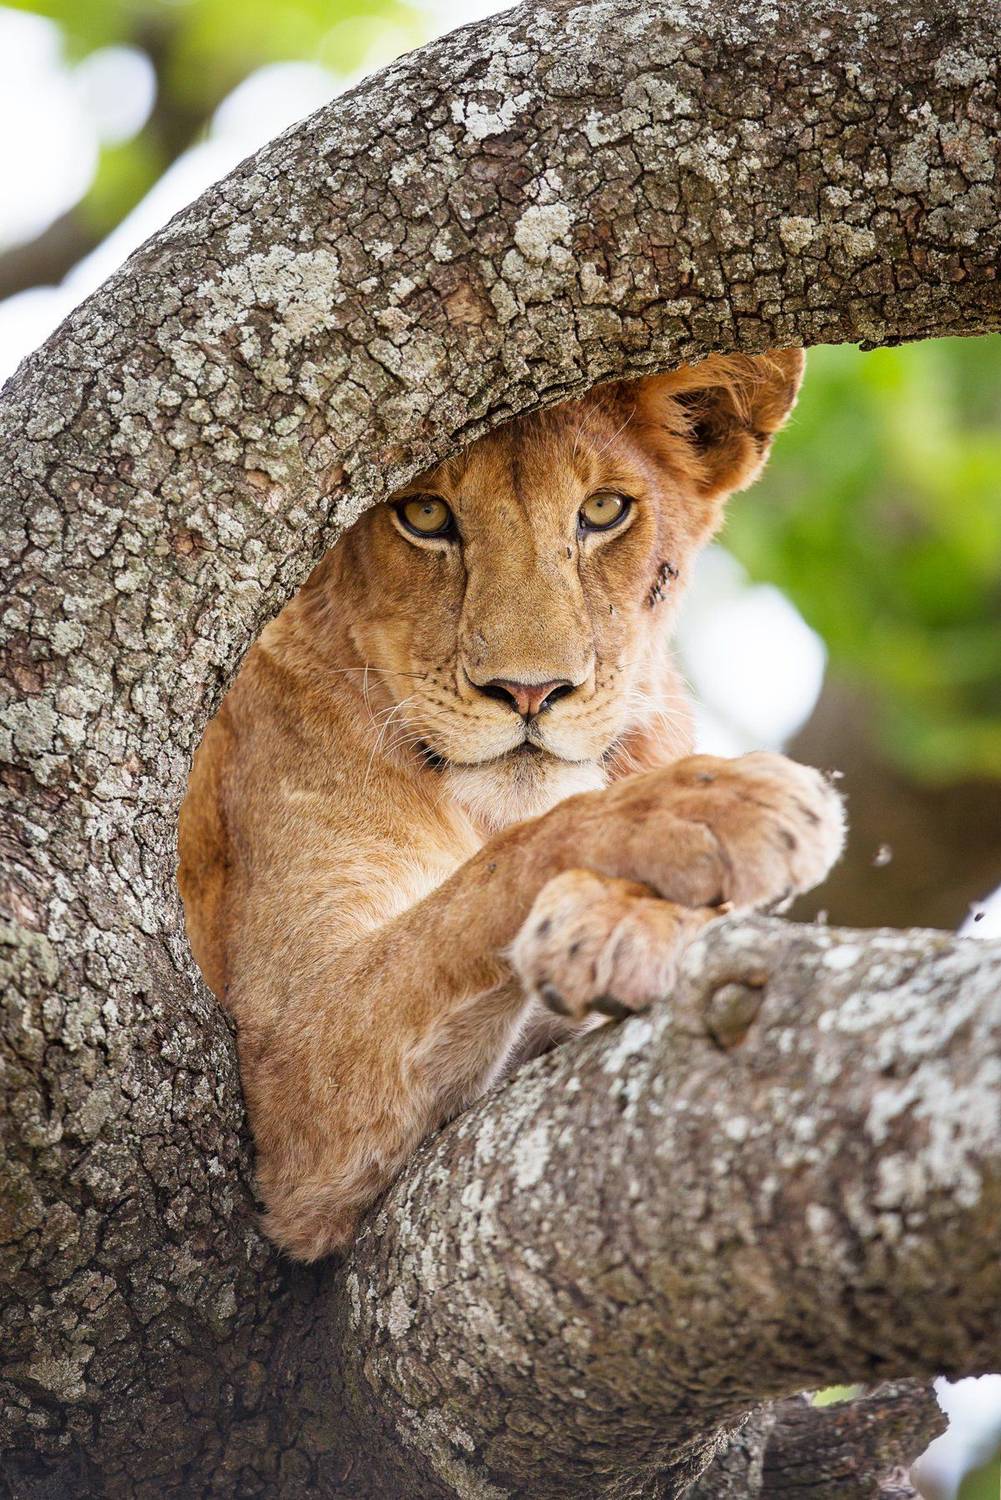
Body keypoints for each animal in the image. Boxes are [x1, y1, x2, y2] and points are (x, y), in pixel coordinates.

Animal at [178, 349, 845, 1261]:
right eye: (424, 513)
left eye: (601, 511)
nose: (530, 691)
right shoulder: (290, 1062)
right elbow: (498, 869)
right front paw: (716, 807)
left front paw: (625, 922)